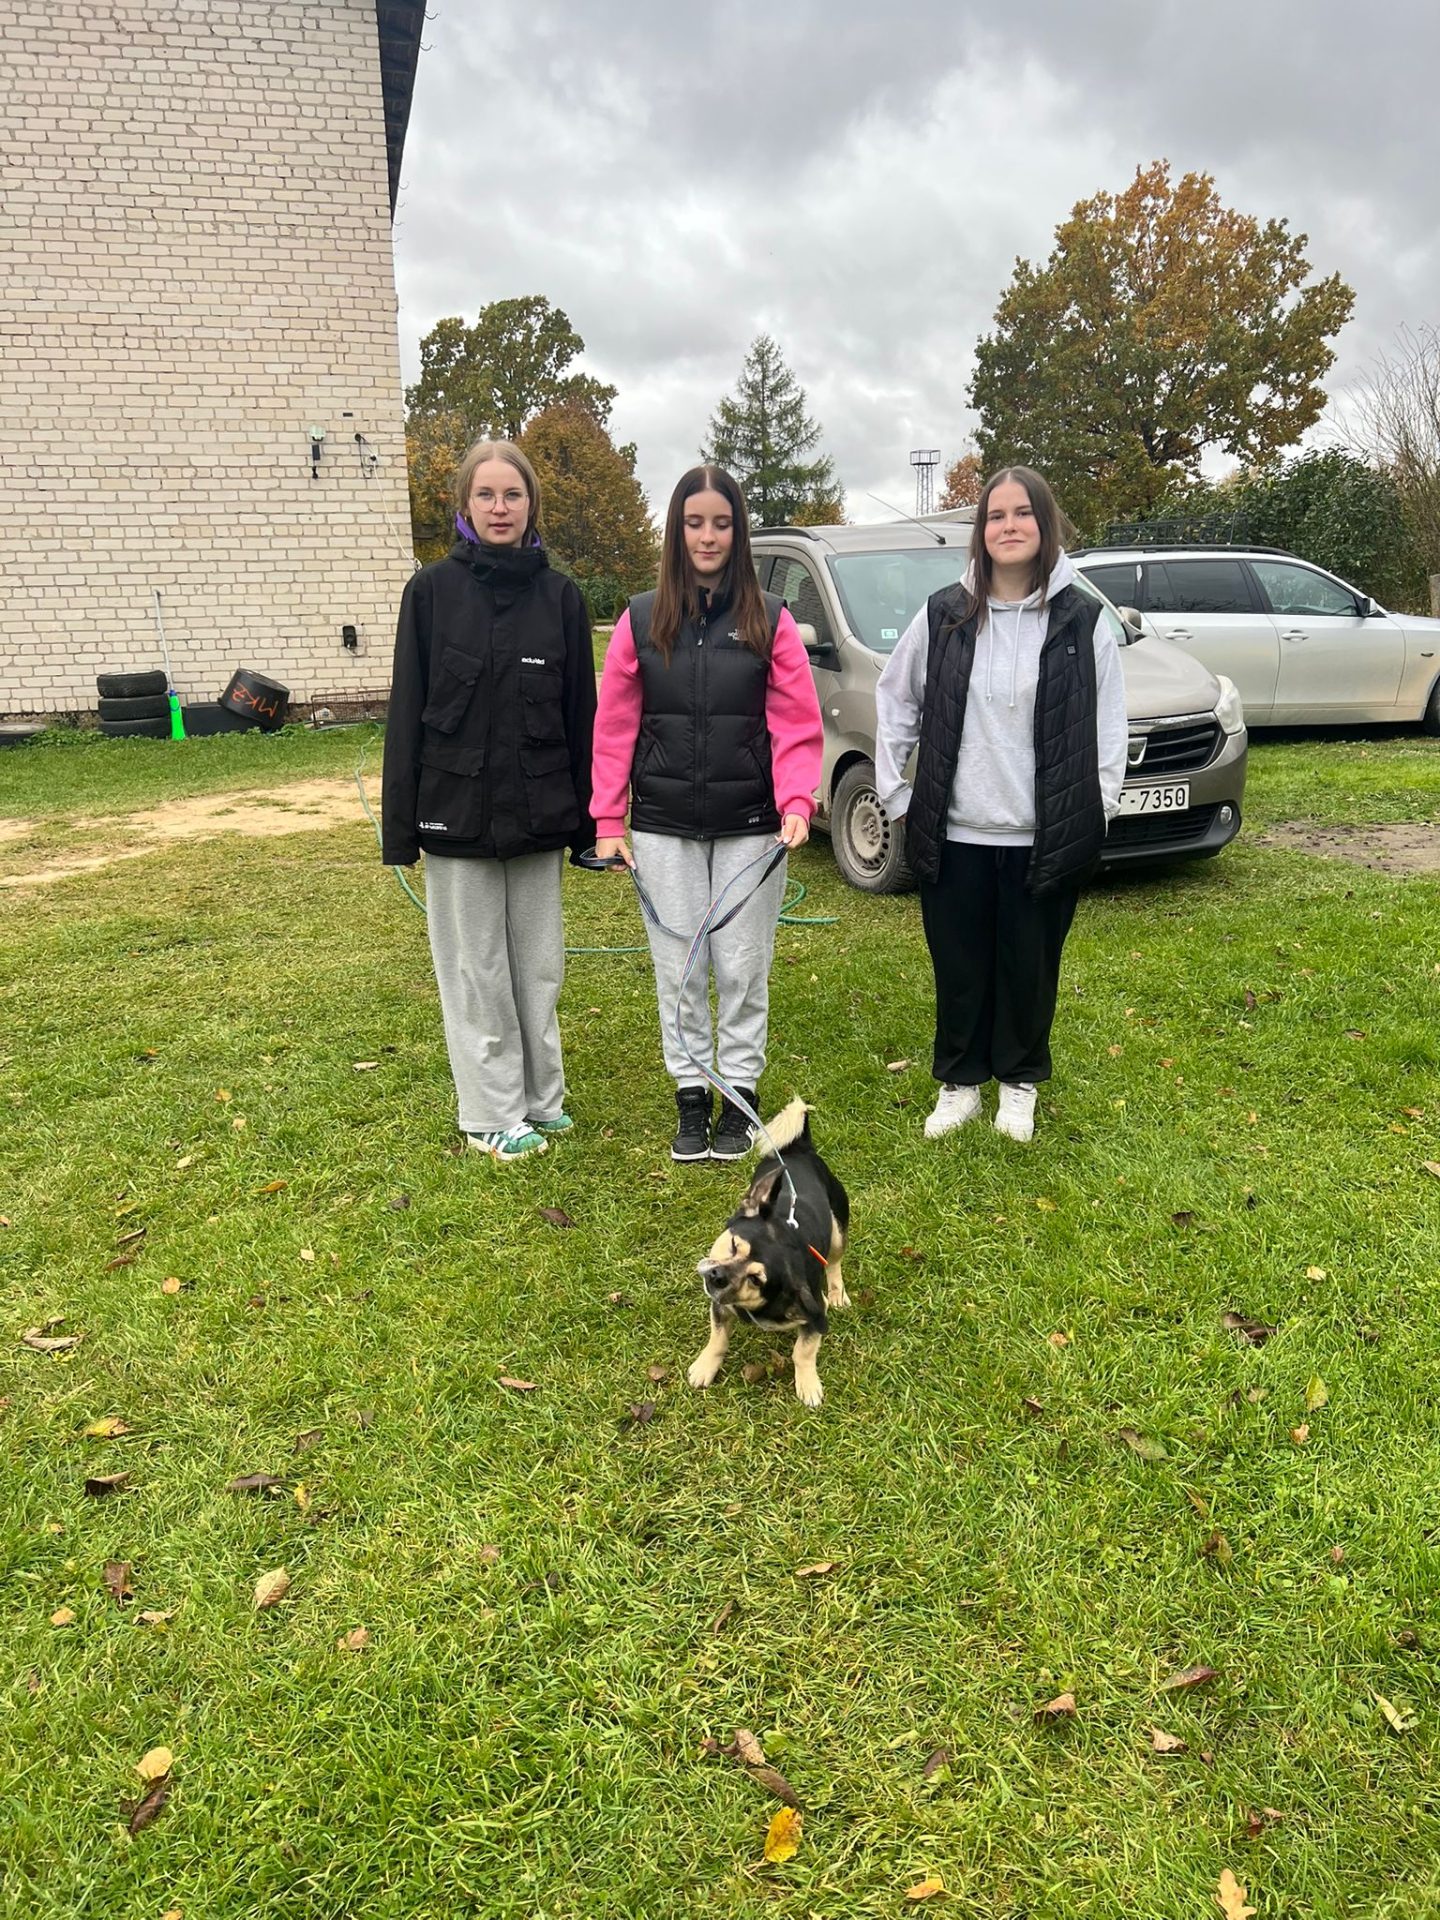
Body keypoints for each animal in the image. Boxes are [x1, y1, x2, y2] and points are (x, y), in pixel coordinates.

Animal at [687, 1098, 851, 1409]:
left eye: (756, 1280)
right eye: (734, 1245)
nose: (715, 1276)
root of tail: (801, 1148)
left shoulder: (814, 1312)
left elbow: (803, 1351)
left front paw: (808, 1383)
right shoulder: (720, 1306)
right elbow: (717, 1340)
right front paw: (705, 1366)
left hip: (837, 1230)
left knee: (834, 1262)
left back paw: (837, 1292)